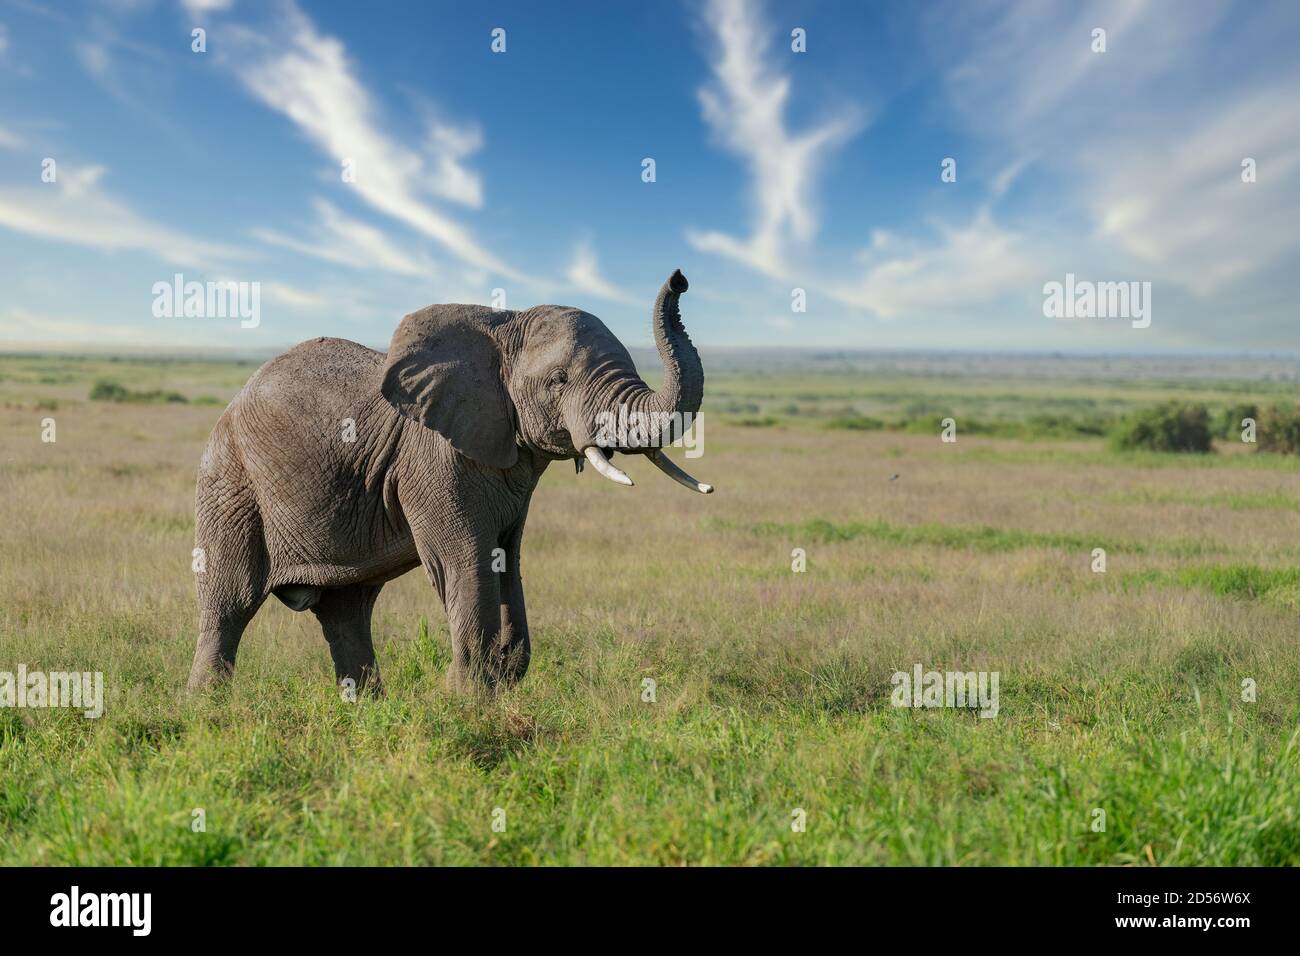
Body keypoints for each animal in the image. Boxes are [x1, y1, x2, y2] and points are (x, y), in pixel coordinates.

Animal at [187, 269, 707, 697]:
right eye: (560, 380)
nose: (680, 278)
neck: (502, 327)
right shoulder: (432, 460)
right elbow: (464, 558)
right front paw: (464, 697)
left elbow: (506, 558)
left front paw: (501, 677)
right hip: (231, 481)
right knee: (230, 601)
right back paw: (207, 710)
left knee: (346, 609)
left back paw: (367, 711)